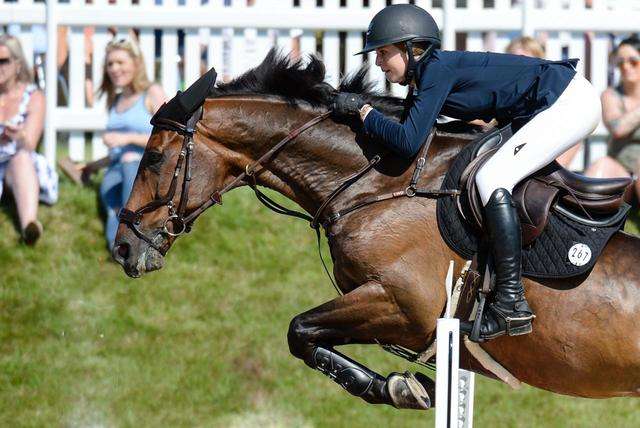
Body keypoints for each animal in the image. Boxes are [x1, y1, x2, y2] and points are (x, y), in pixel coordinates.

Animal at [113, 50, 640, 410]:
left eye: (154, 157)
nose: (122, 248)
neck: (377, 183)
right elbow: (305, 337)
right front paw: (406, 387)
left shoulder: (403, 305)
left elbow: (299, 330)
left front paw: (400, 388)